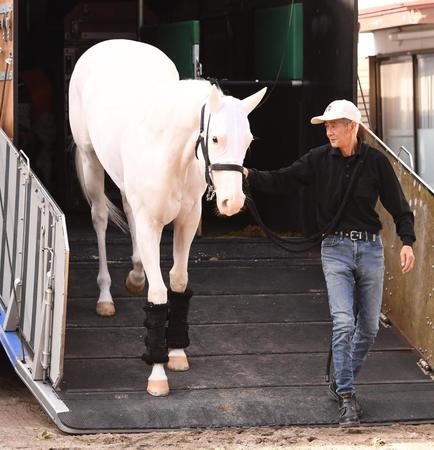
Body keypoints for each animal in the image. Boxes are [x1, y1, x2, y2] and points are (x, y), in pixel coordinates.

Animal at [69, 39, 266, 398]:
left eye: (248, 140)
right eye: (215, 138)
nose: (232, 202)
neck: (170, 152)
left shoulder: (186, 222)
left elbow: (177, 282)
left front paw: (175, 354)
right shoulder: (151, 224)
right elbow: (159, 293)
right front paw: (158, 375)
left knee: (127, 211)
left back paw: (135, 276)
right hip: (91, 161)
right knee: (101, 218)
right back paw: (105, 296)